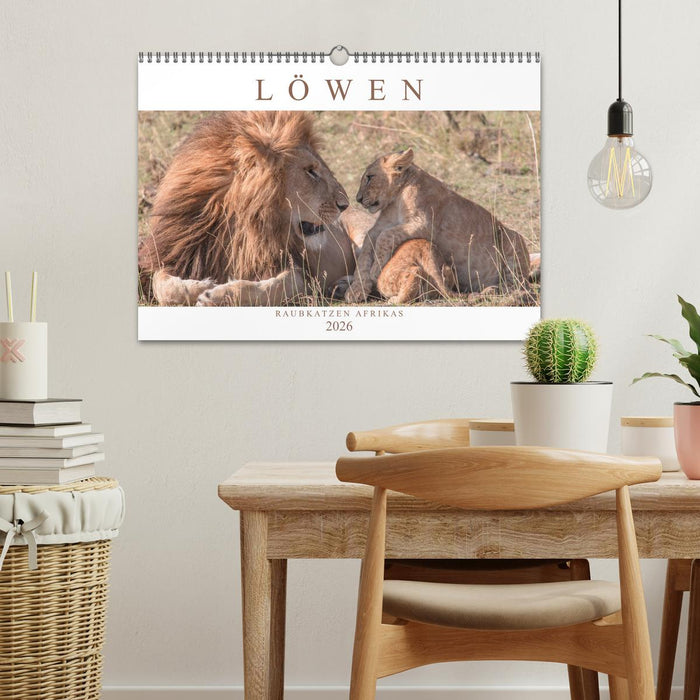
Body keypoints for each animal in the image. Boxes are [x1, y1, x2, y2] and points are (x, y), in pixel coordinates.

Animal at [138, 111, 356, 306]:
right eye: (310, 171)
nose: (345, 204)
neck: (242, 226)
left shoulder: (298, 271)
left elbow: (269, 287)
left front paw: (217, 294)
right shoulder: (177, 253)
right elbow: (163, 285)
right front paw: (202, 285)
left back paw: (343, 286)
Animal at [345, 148, 531, 303]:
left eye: (370, 177)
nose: (358, 199)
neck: (397, 197)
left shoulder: (424, 224)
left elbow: (385, 236)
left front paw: (376, 270)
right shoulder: (381, 226)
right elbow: (366, 250)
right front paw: (356, 291)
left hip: (513, 238)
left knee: (519, 283)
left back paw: (499, 291)